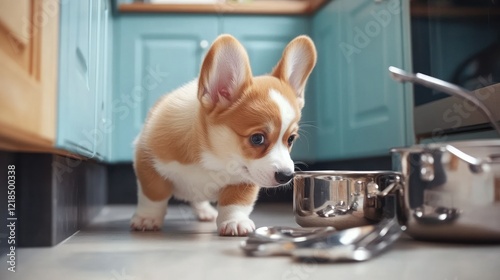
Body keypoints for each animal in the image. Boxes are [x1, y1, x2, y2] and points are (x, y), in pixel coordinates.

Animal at [129, 35, 316, 236]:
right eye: (257, 138)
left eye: (290, 139)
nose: (287, 175)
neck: (213, 159)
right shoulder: (147, 160)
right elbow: (154, 195)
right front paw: (147, 219)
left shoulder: (245, 180)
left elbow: (235, 203)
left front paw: (235, 222)